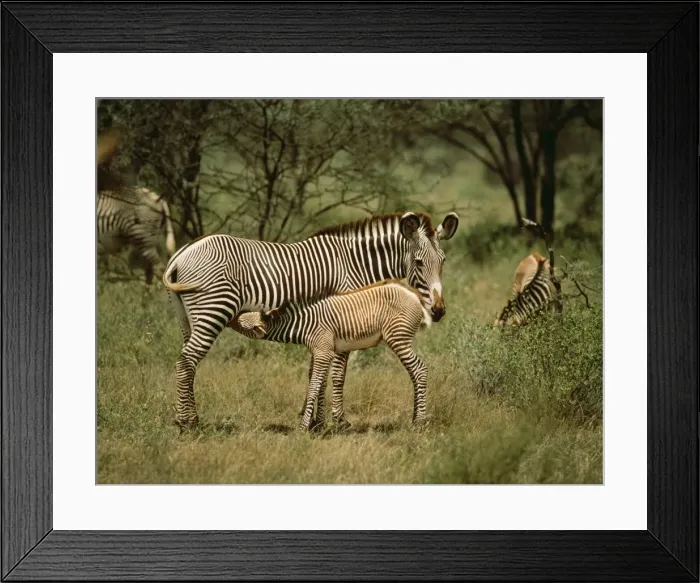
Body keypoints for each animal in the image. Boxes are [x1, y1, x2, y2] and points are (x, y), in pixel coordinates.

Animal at [232, 279, 432, 431]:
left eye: (239, 322)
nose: (229, 317)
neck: (304, 323)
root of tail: (413, 293)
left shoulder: (322, 352)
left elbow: (314, 386)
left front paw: (304, 426)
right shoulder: (323, 352)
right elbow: (321, 384)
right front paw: (318, 424)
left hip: (398, 338)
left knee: (420, 370)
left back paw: (420, 422)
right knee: (415, 373)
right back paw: (415, 418)